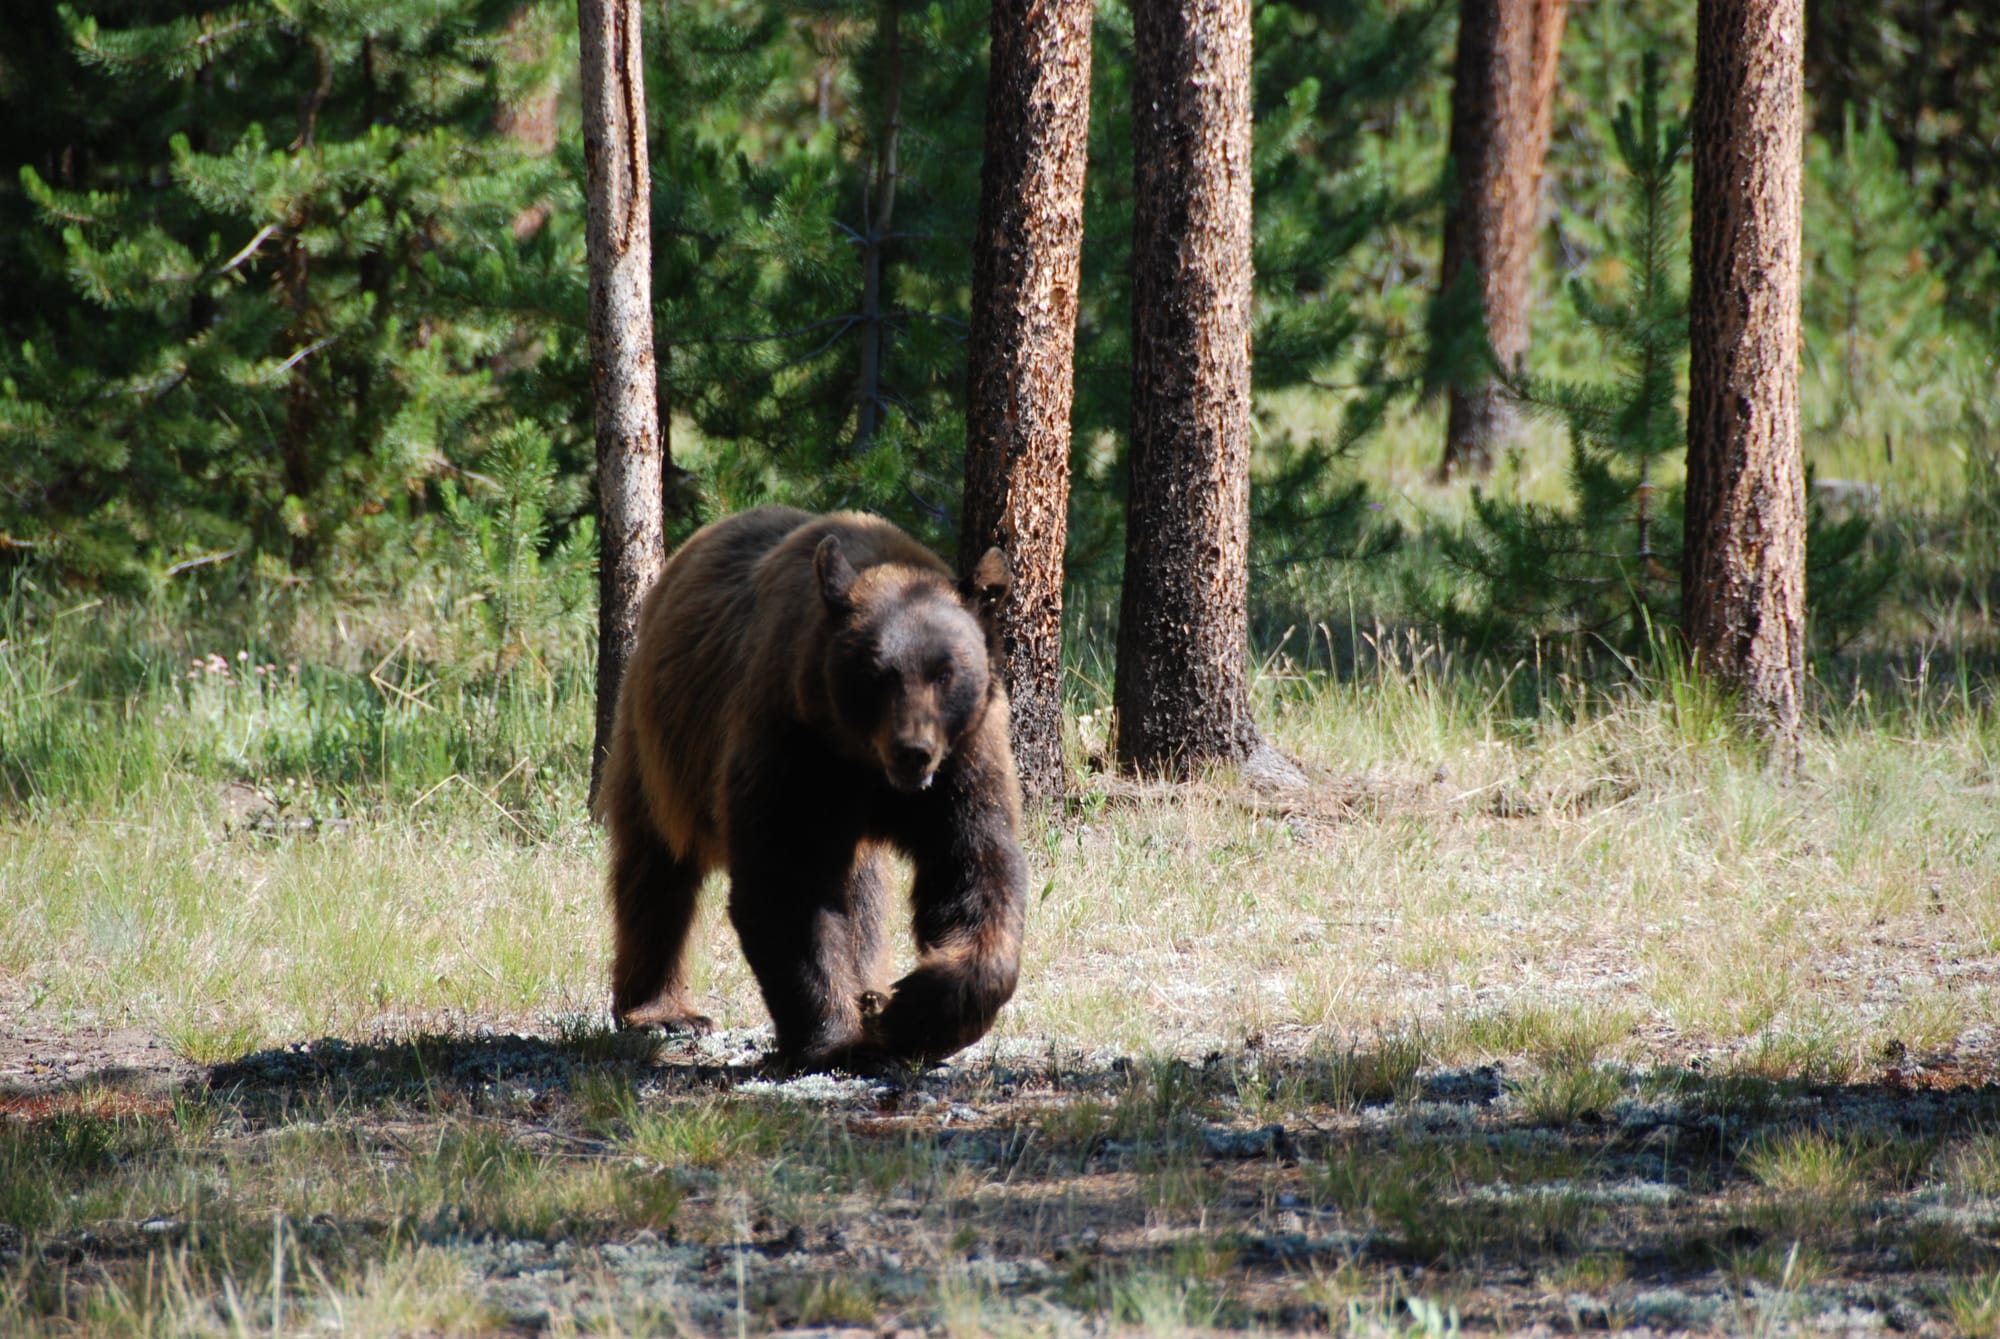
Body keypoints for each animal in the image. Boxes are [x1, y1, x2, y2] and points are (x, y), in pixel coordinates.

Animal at [598, 506, 1027, 1073]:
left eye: (945, 671)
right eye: (879, 673)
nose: (912, 751)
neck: (864, 764)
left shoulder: (964, 764)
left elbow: (974, 871)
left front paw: (910, 1011)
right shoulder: (793, 747)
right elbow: (787, 879)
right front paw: (838, 1037)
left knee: (864, 893)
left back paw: (869, 989)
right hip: (660, 743)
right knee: (655, 868)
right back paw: (662, 1011)